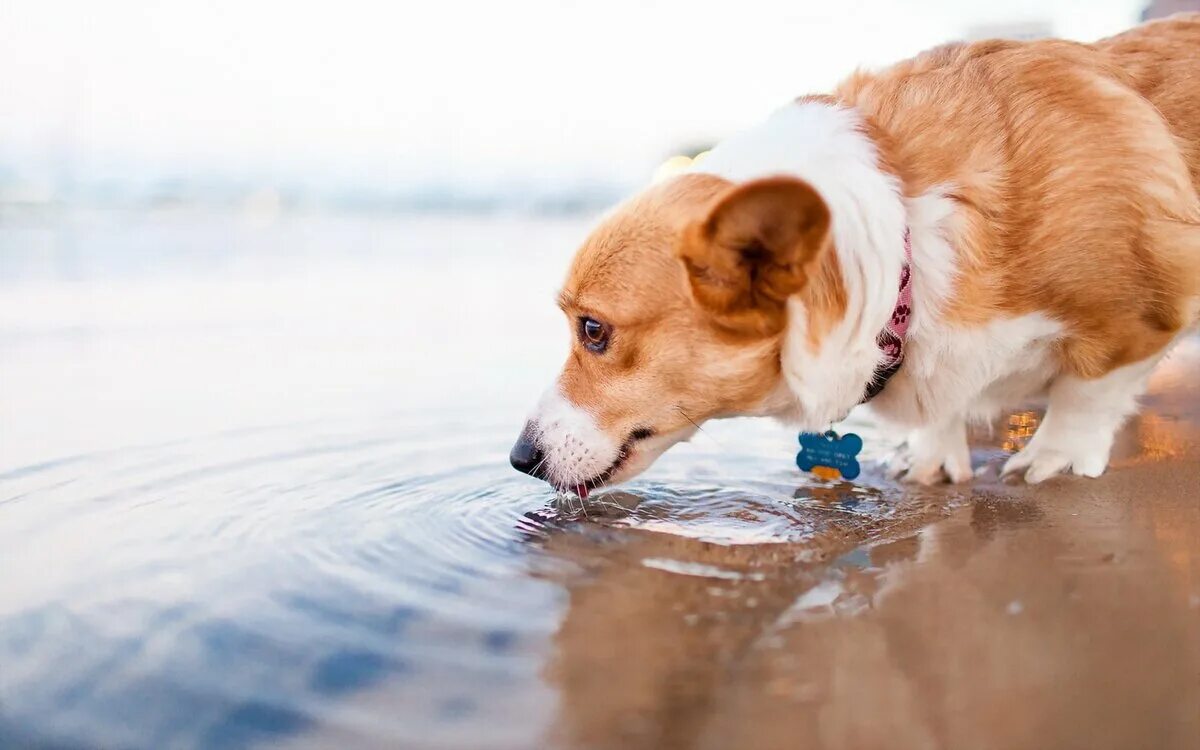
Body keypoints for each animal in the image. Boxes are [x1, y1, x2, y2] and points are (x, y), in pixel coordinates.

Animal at [508, 14, 1200, 494]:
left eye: (593, 330)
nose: (519, 458)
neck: (907, 245)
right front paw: (930, 457)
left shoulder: (1136, 313)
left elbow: (1087, 393)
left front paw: (1052, 459)